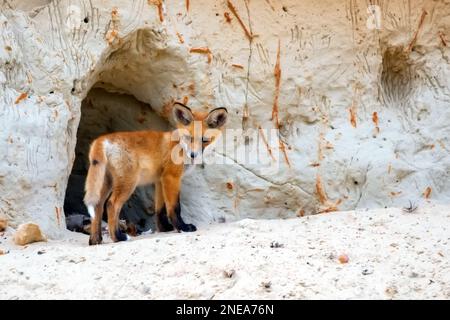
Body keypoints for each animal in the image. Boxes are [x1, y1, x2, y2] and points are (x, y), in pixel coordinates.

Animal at [82, 102, 227, 245]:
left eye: (205, 140)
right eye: (188, 137)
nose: (193, 155)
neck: (179, 146)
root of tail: (102, 139)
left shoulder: (160, 180)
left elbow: (160, 209)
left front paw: (165, 228)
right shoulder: (171, 177)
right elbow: (174, 207)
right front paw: (182, 227)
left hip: (106, 184)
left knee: (97, 206)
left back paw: (95, 240)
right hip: (128, 183)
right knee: (111, 205)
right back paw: (118, 237)